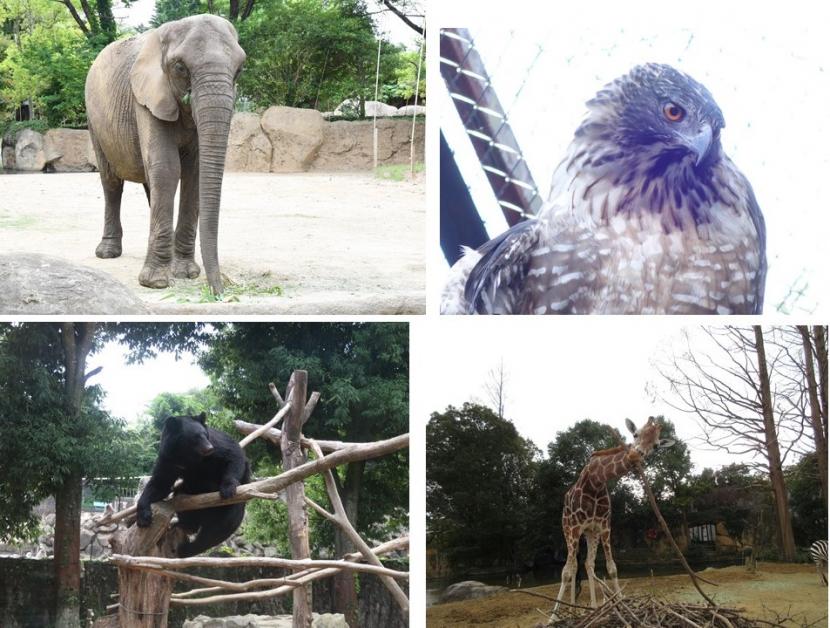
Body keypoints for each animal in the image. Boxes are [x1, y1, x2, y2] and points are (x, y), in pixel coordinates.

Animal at [85, 14, 247, 294]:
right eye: (180, 67)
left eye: (239, 70)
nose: (220, 293)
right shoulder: (145, 97)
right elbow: (167, 168)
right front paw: (156, 283)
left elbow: (194, 174)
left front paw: (186, 273)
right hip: (94, 119)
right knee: (111, 182)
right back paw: (107, 253)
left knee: (150, 183)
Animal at [137, 414, 250, 556]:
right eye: (195, 437)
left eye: (205, 435)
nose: (209, 448)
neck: (189, 456)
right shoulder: (168, 458)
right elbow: (160, 483)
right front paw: (143, 518)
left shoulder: (217, 445)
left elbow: (233, 455)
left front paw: (227, 489)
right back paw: (185, 527)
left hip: (229, 509)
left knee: (218, 529)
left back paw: (186, 549)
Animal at [552, 414, 676, 616]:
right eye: (635, 434)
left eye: (656, 446)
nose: (635, 455)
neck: (595, 480)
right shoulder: (575, 527)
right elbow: (567, 572)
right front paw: (552, 618)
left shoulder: (603, 526)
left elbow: (612, 568)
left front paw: (622, 604)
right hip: (568, 529)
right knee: (571, 567)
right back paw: (572, 609)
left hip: (590, 533)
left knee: (587, 564)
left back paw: (592, 608)